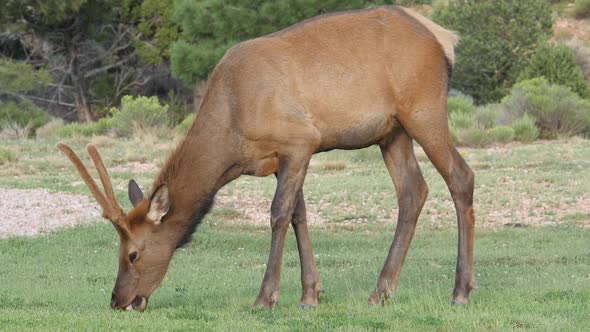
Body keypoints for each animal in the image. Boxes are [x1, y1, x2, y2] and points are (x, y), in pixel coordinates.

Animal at [60, 5, 476, 312]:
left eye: (132, 253)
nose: (118, 300)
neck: (231, 133)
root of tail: (445, 38)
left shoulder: (300, 140)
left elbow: (277, 214)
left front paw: (266, 296)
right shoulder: (281, 158)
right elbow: (298, 214)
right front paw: (310, 295)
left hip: (423, 109)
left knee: (460, 176)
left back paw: (460, 290)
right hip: (391, 132)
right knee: (413, 190)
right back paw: (382, 291)